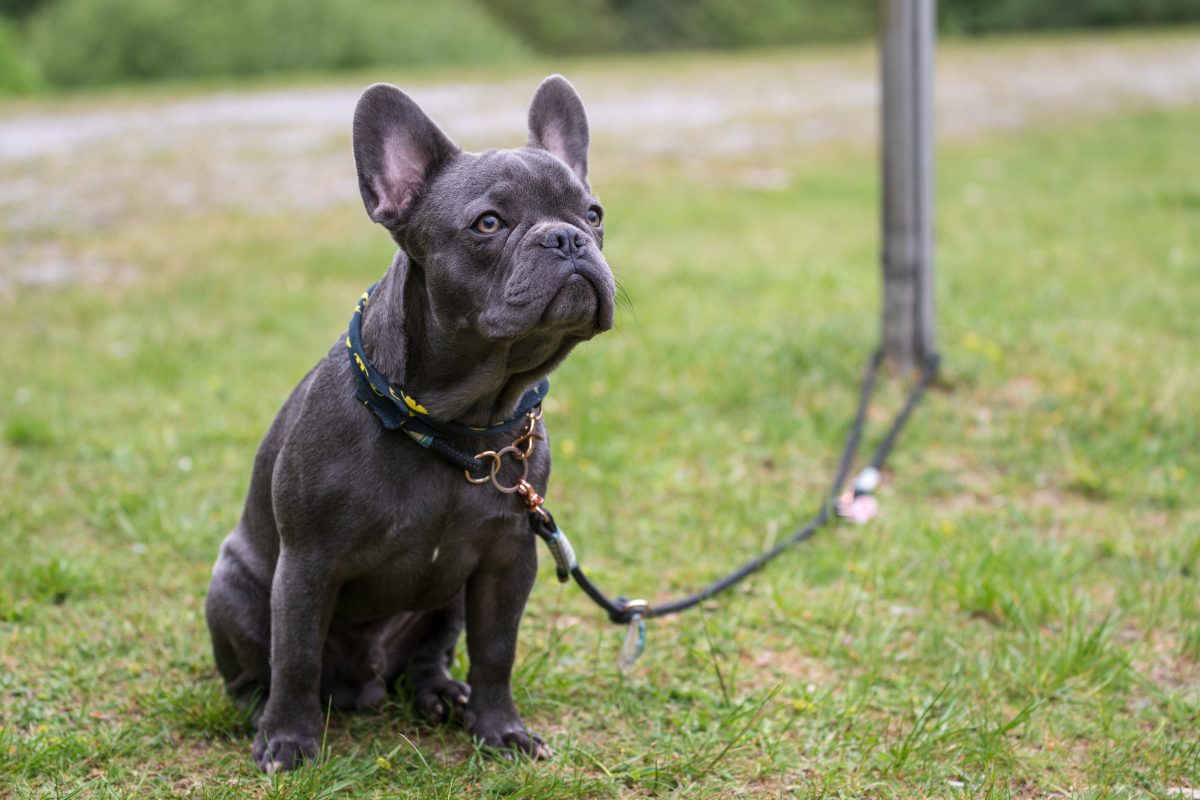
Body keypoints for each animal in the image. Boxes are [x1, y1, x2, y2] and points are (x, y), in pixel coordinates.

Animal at [205, 77, 614, 772]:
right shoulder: (306, 567)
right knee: (258, 670)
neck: (459, 422)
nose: (565, 238)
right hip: (233, 587)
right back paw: (262, 713)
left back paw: (443, 695)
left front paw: (500, 728)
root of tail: (362, 685)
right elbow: (294, 657)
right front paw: (288, 741)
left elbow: (496, 652)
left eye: (593, 214)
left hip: (446, 602)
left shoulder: (507, 562)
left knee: (429, 655)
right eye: (488, 223)